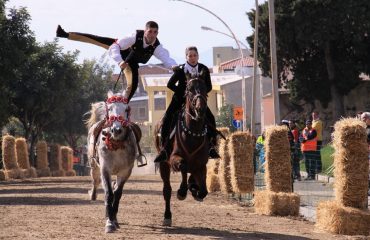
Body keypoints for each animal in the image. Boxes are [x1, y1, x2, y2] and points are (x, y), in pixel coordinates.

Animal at [86, 90, 137, 232]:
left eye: (127, 109)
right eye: (110, 108)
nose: (117, 130)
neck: (116, 146)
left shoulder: (125, 172)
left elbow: (117, 194)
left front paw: (114, 219)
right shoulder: (105, 169)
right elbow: (109, 193)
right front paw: (109, 223)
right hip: (94, 167)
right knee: (97, 182)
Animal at [154, 74, 211, 225]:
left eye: (205, 88)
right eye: (189, 89)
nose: (200, 109)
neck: (192, 132)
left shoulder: (201, 164)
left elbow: (203, 190)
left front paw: (195, 190)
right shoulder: (175, 158)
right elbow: (184, 166)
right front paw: (182, 191)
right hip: (164, 164)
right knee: (167, 190)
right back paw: (167, 216)